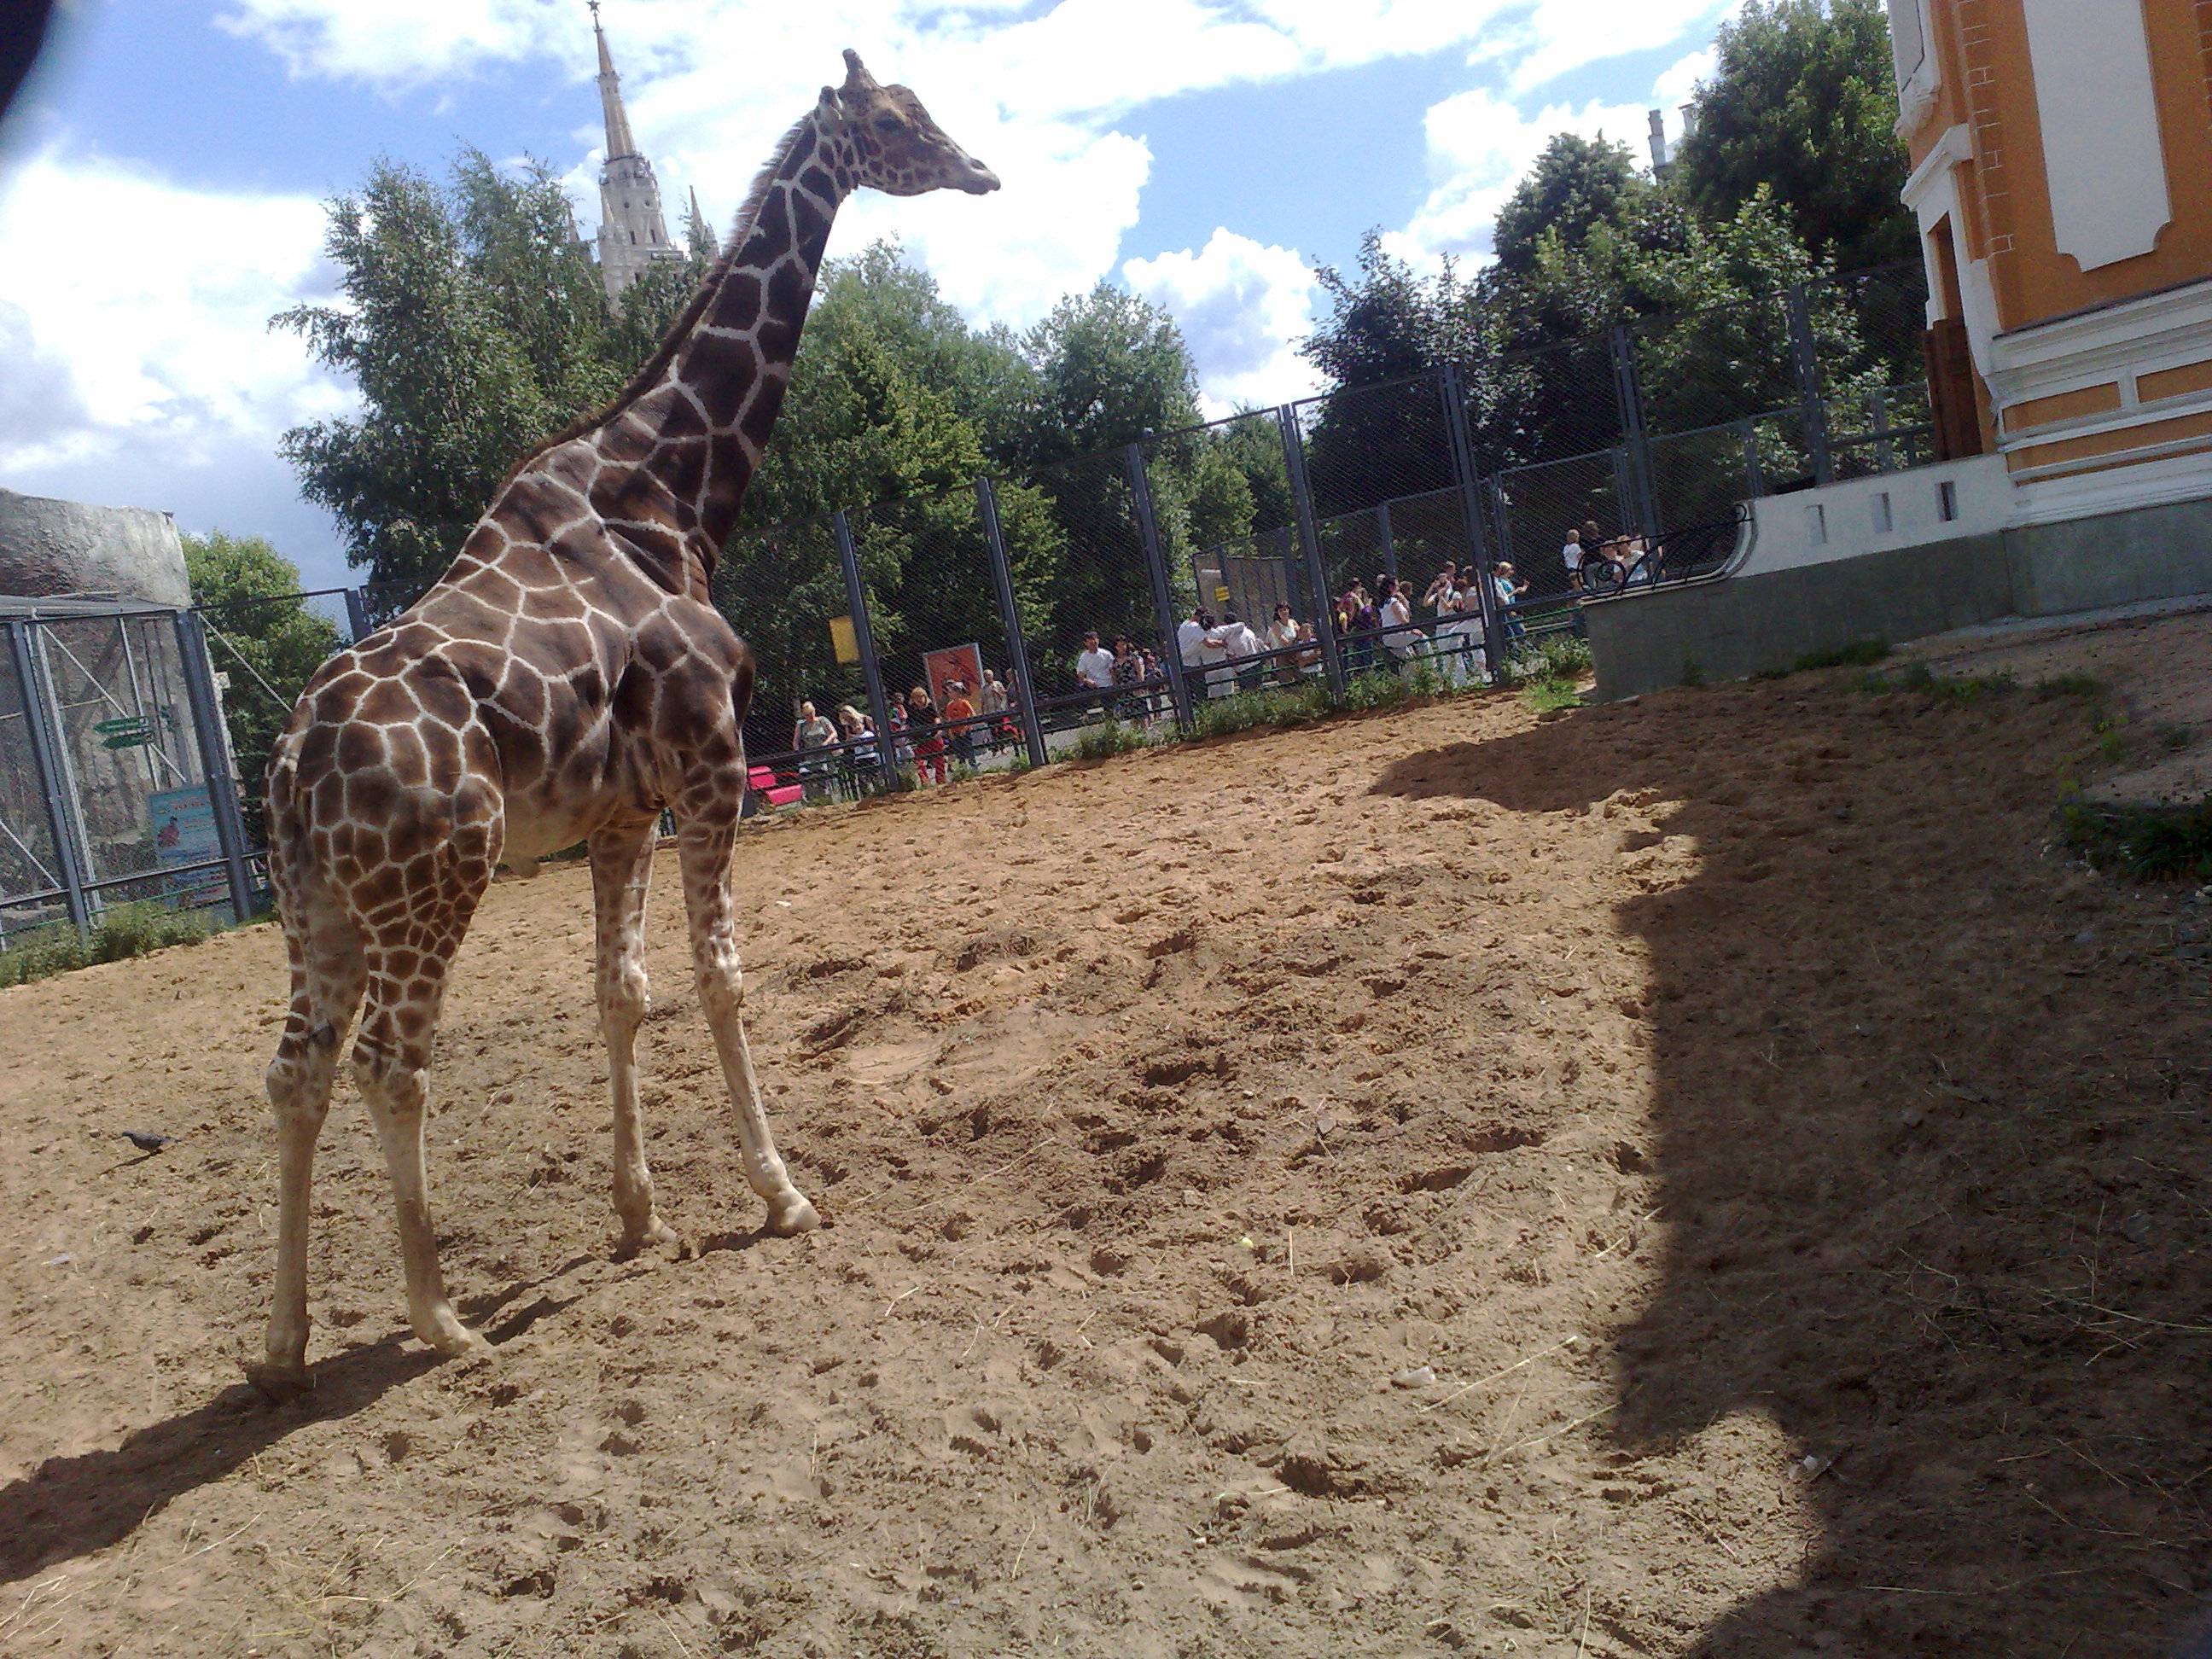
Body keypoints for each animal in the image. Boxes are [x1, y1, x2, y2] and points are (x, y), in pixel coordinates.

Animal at [247, 51, 998, 1396]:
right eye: (896, 120)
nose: (980, 170)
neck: (670, 488)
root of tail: (288, 764)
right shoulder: (712, 769)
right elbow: (721, 980)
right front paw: (782, 1196)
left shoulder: (620, 811)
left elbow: (622, 995)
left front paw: (640, 1218)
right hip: (437, 878)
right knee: (391, 1062)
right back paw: (440, 1318)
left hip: (313, 901)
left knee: (299, 1072)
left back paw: (286, 1340)